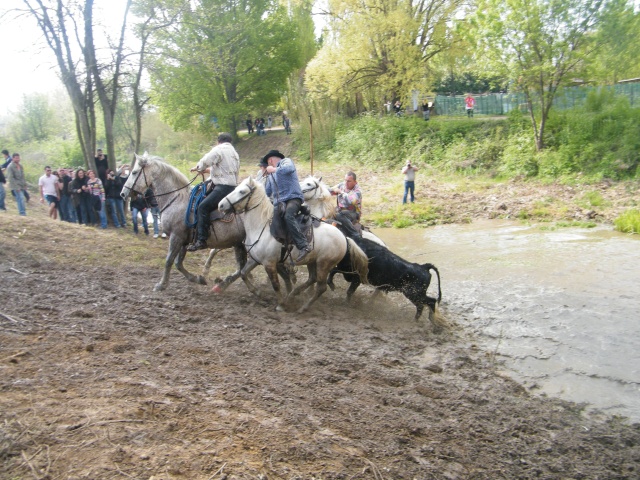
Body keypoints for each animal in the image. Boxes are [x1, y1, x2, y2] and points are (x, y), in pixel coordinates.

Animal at [220, 176, 370, 316]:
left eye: (242, 191)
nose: (221, 205)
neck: (262, 227)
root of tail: (344, 237)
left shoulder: (269, 263)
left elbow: (275, 285)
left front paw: (280, 305)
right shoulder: (255, 259)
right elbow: (243, 273)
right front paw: (258, 293)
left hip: (324, 264)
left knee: (320, 287)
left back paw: (302, 307)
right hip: (312, 261)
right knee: (312, 279)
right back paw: (293, 295)